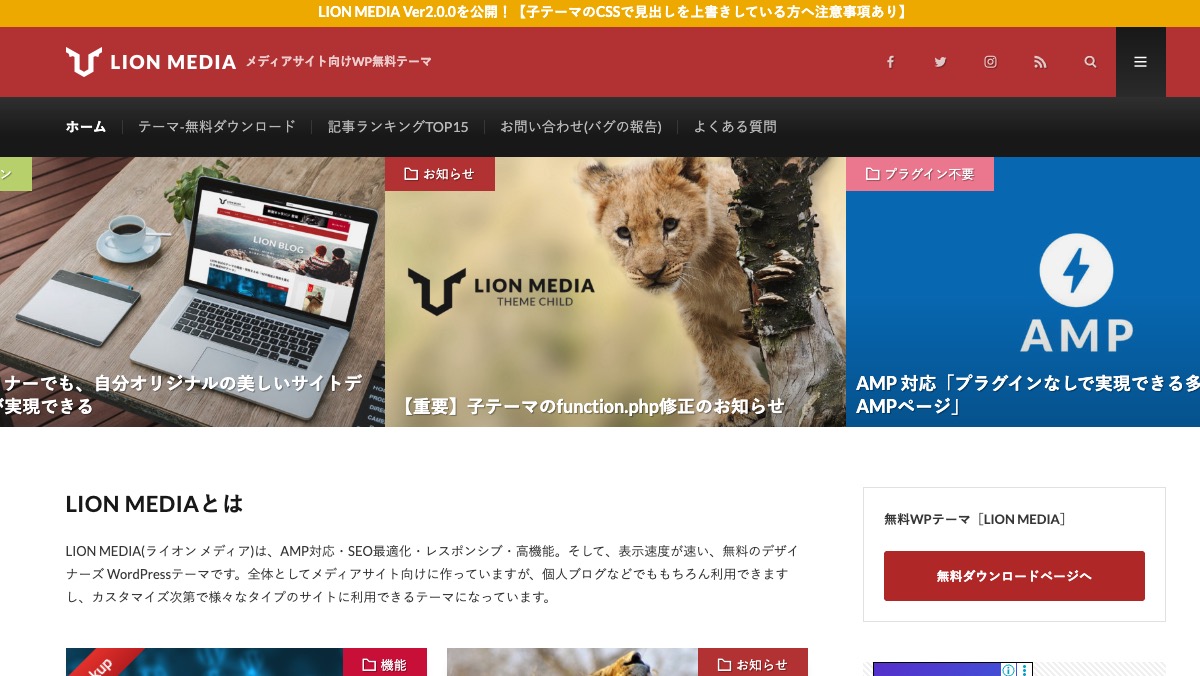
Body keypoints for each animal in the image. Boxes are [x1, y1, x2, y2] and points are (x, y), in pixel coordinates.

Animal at [581, 157, 844, 426]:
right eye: (624, 233)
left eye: (670, 224)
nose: (651, 274)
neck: (704, 266)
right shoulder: (695, 313)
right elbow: (718, 357)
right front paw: (744, 399)